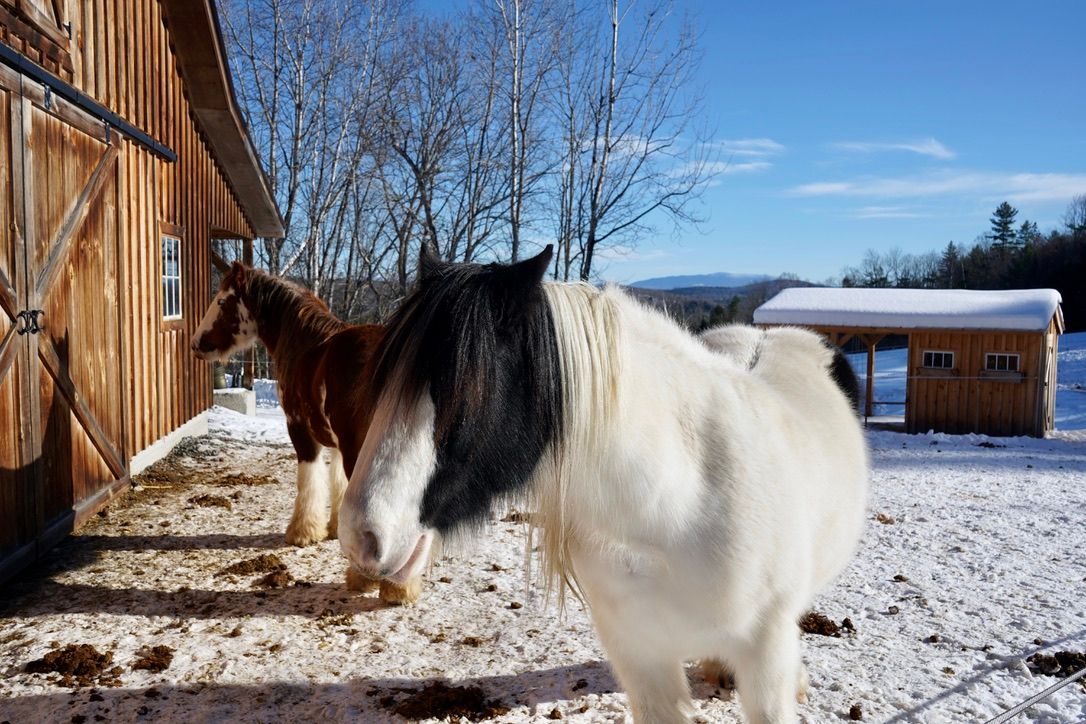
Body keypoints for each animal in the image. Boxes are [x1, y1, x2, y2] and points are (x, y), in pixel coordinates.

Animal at [190, 261, 421, 604]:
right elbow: (337, 483)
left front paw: (303, 532)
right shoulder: (335, 443)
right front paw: (334, 527)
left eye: (221, 301)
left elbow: (309, 480)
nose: (197, 344)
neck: (306, 343)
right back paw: (401, 586)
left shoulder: (300, 430)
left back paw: (365, 579)